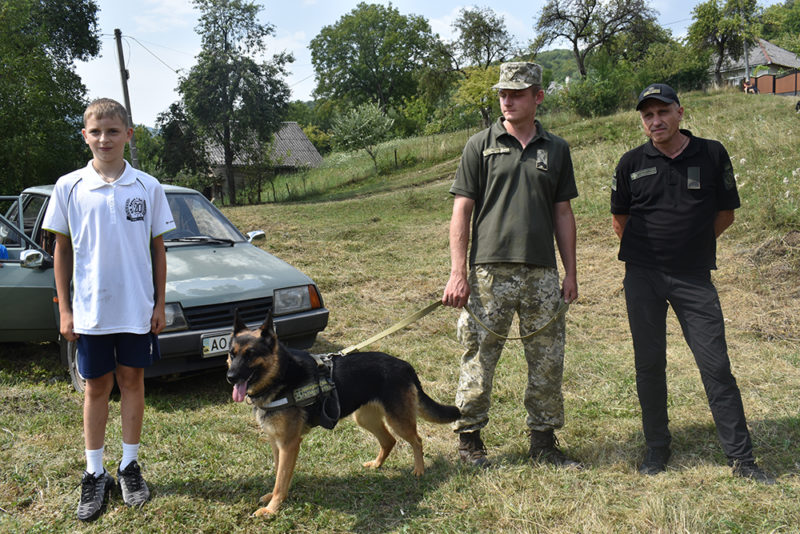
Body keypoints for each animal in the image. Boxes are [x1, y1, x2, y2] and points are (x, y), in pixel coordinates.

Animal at [226, 309, 460, 516]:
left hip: (398, 420)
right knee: (389, 441)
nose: (230, 377)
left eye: (250, 355)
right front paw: (273, 499)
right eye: (232, 355)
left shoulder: (289, 444)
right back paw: (377, 464)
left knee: (417, 440)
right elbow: (278, 474)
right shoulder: (277, 443)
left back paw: (419, 470)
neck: (281, 375)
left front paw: (271, 509)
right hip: (365, 418)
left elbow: (281, 480)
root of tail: (405, 365)